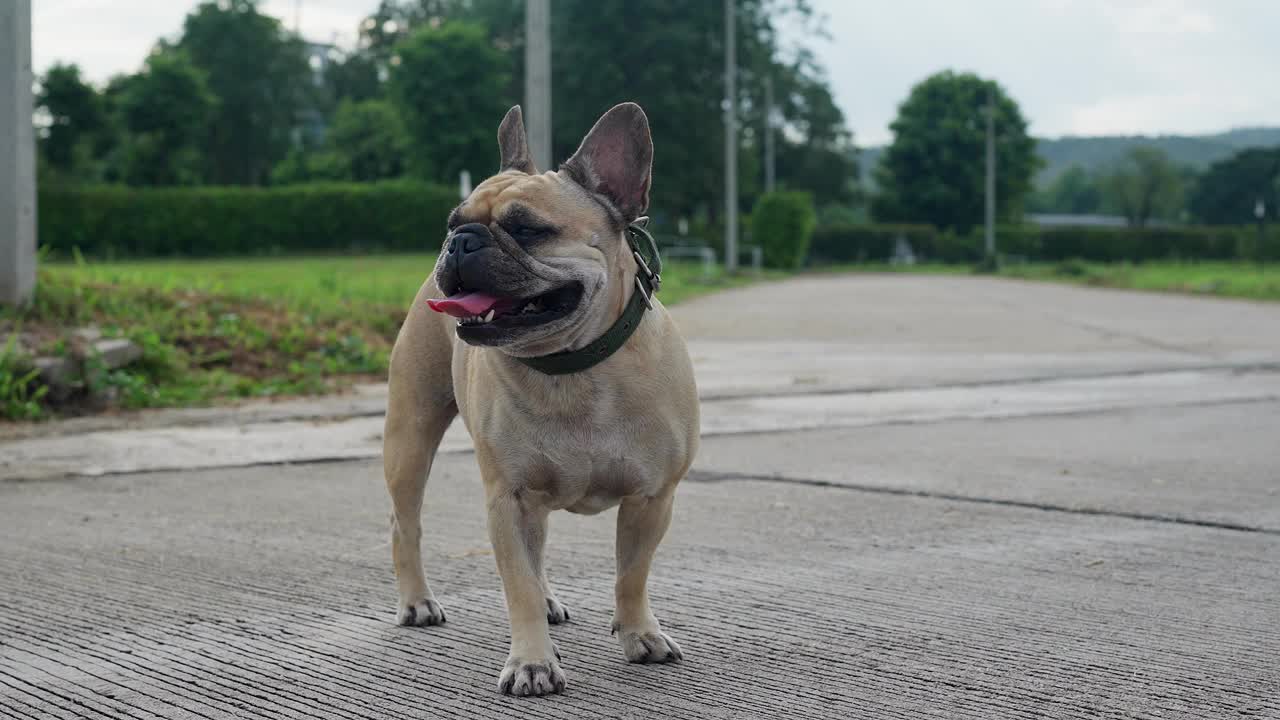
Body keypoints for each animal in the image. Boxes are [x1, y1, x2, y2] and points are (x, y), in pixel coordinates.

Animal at [378, 103, 701, 691]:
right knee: (405, 522)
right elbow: (518, 586)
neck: (570, 366)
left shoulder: (652, 499)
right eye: (452, 222)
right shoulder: (508, 499)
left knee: (542, 546)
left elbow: (632, 574)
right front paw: (532, 662)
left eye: (527, 230)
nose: (461, 241)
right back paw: (417, 602)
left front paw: (639, 634)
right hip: (410, 437)